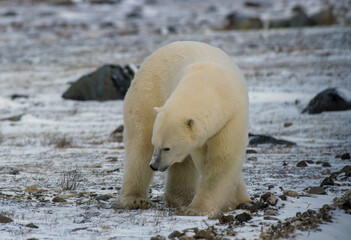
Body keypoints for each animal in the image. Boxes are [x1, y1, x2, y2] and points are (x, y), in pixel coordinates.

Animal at [117, 41, 250, 216]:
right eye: (156, 144)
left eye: (167, 148)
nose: (155, 165)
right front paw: (196, 209)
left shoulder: (232, 117)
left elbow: (222, 159)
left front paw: (239, 201)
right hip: (146, 94)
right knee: (139, 146)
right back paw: (136, 200)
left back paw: (181, 199)